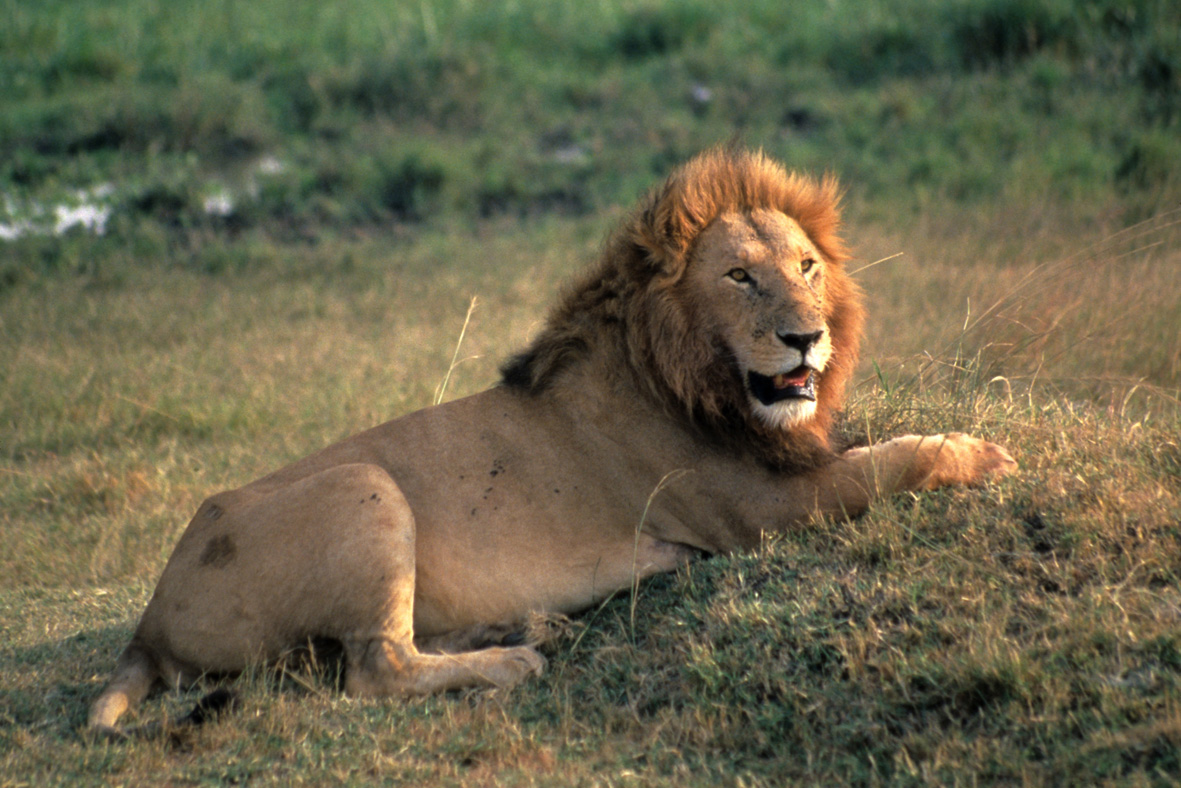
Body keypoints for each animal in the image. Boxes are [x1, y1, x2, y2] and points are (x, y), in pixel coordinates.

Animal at [89, 146, 1015, 732]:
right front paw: (979, 453)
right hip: (361, 486)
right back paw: (511, 663)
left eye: (806, 268)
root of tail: (149, 621)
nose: (805, 338)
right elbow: (891, 462)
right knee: (374, 670)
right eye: (738, 277)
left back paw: (517, 630)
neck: (683, 371)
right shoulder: (761, 508)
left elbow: (869, 438)